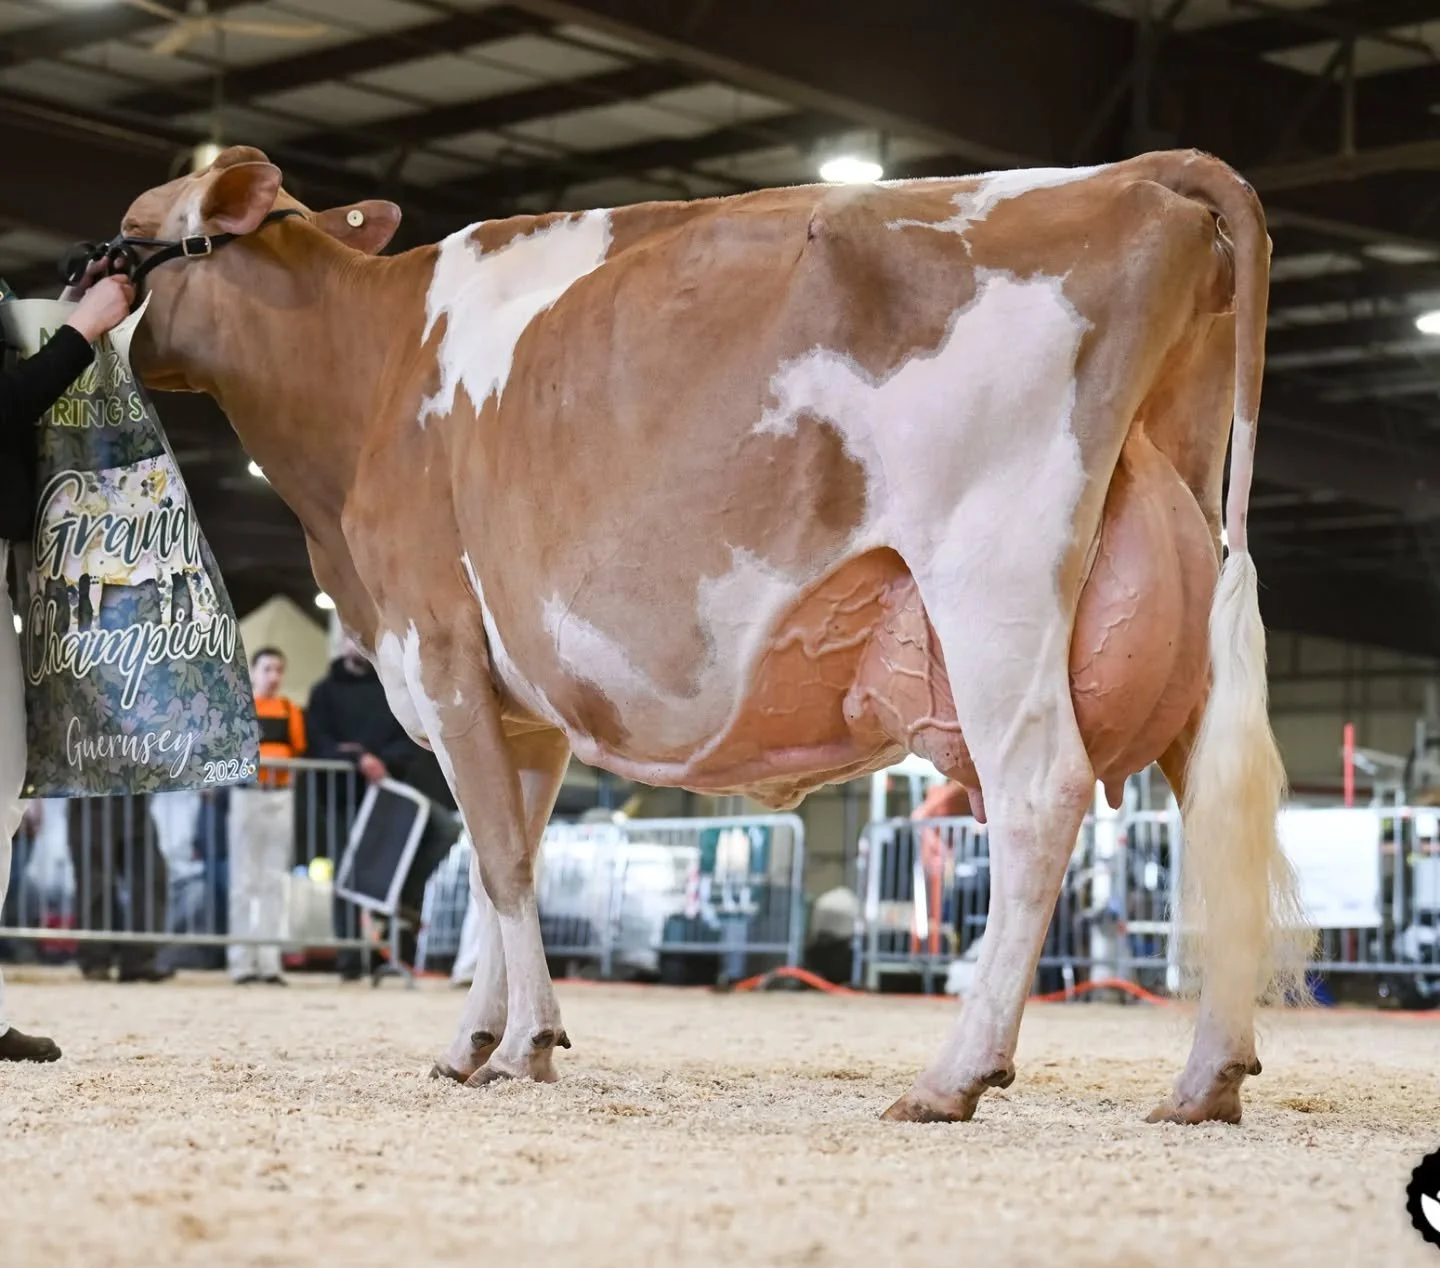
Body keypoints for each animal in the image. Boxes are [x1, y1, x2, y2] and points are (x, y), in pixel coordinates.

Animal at [109, 144, 1311, 1125]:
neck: (366, 380)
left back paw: (954, 1073)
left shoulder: (436, 648)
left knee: (1039, 791)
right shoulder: (520, 705)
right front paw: (483, 1043)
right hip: (1177, 594)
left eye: (132, 228)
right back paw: (1206, 1078)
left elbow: (495, 858)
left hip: (994, 580)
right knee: (1212, 807)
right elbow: (512, 858)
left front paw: (524, 1041)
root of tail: (1141, 173)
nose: (80, 283)